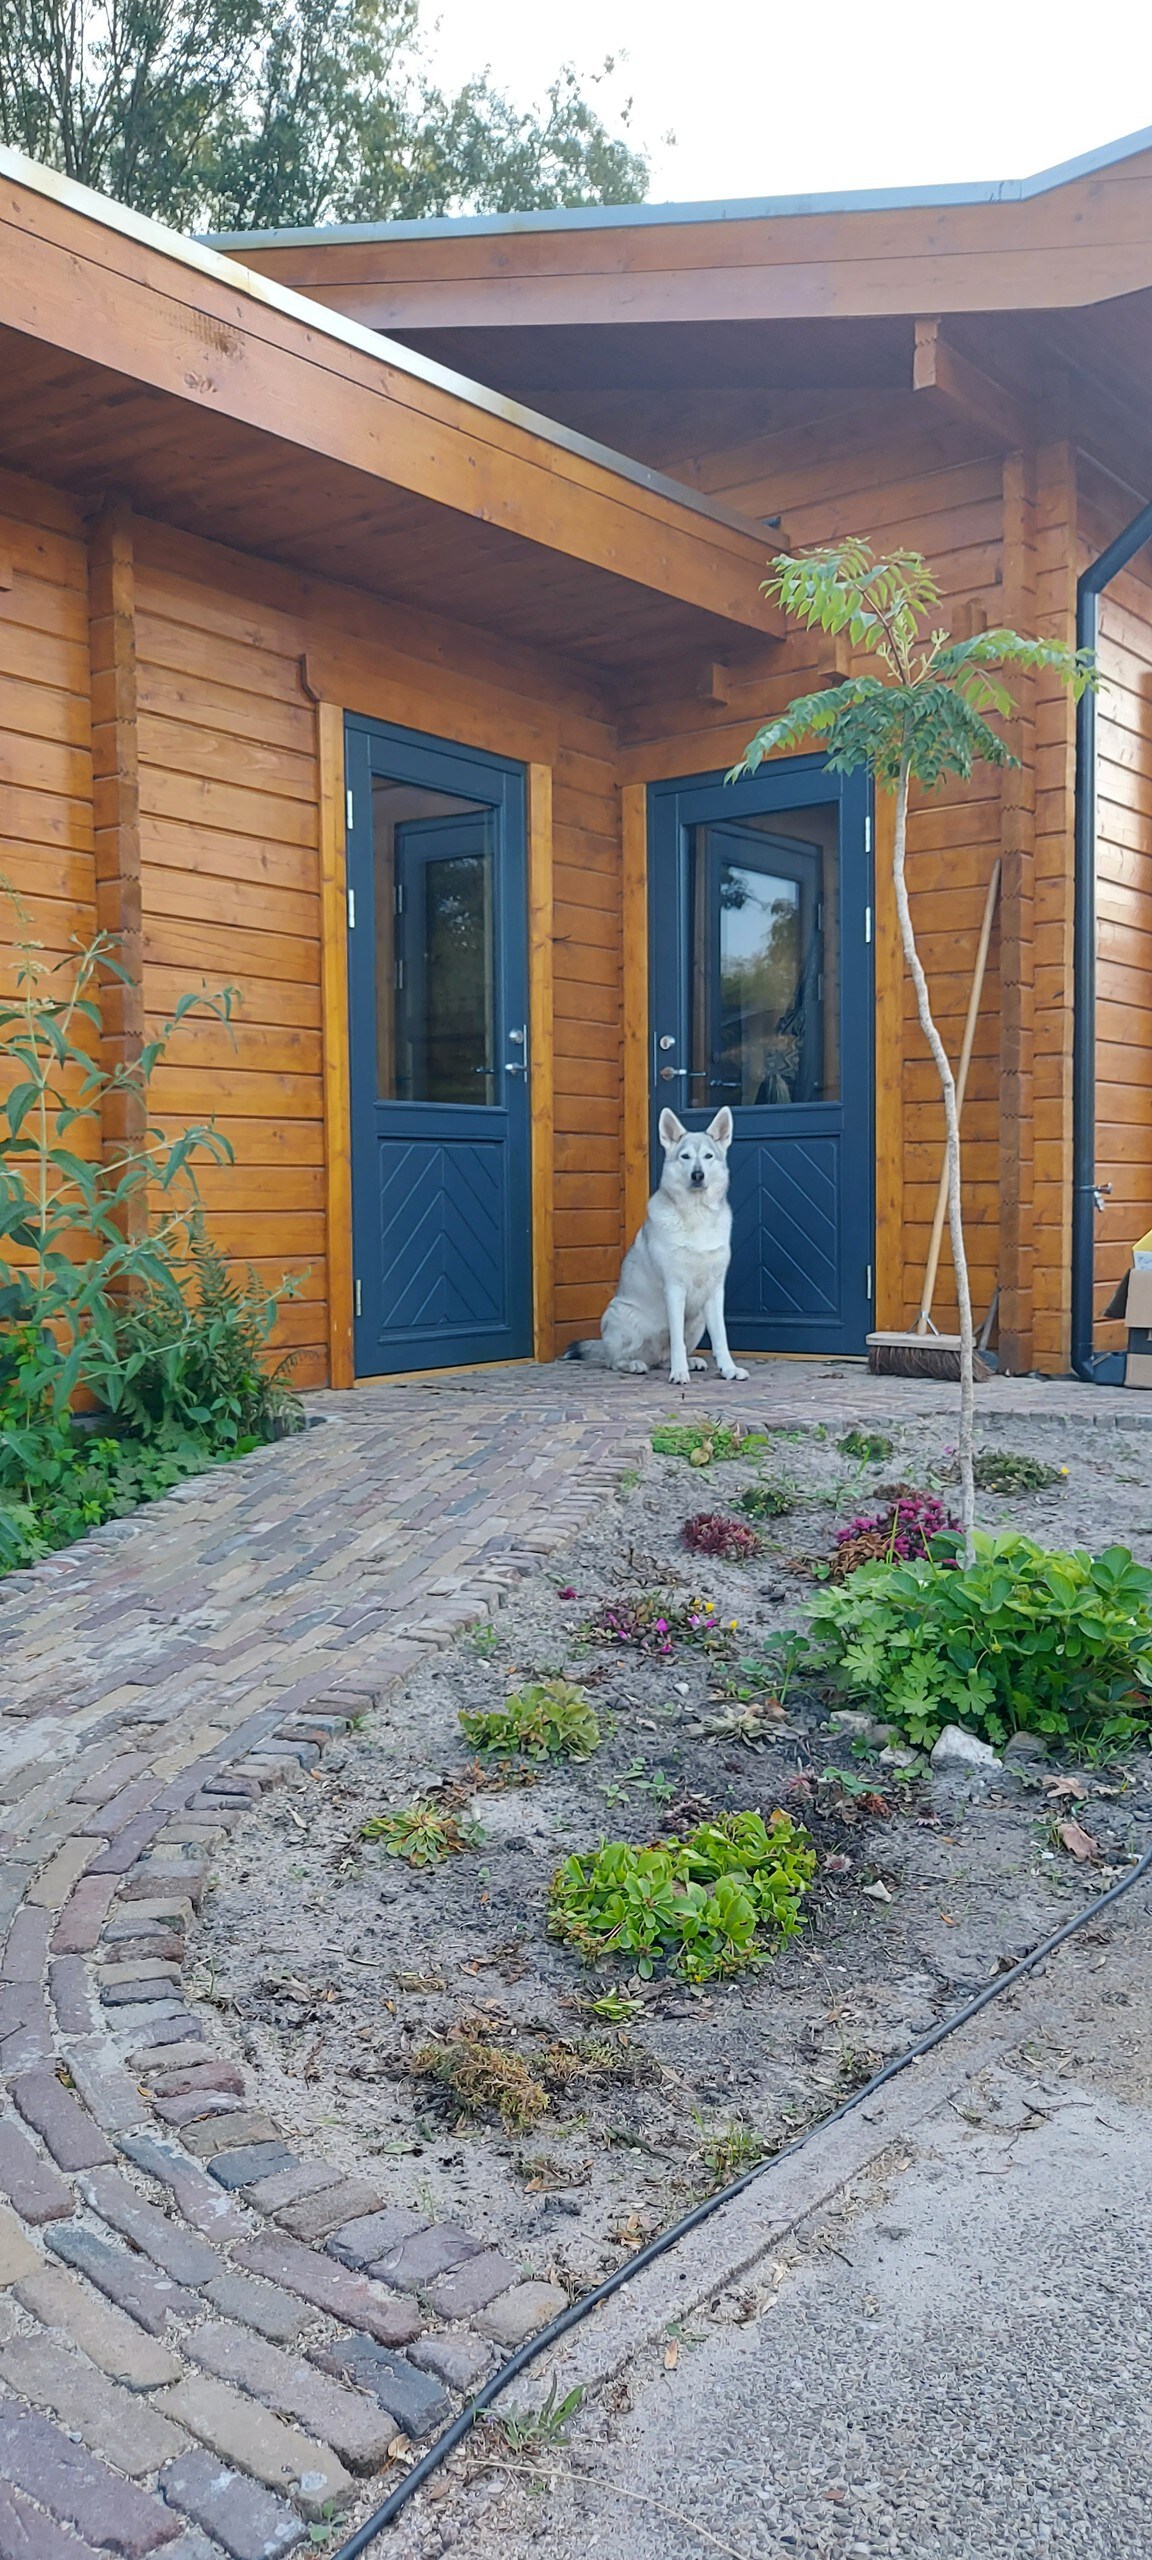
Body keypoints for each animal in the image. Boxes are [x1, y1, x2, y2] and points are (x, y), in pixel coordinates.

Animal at [565, 1100, 747, 1382]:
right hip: (623, 1315)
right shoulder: (674, 1288)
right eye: (685, 1156)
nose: (697, 1175)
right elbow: (677, 1342)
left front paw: (728, 1369)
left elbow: (721, 1339)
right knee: (614, 1361)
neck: (696, 1215)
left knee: (662, 1357)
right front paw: (679, 1373)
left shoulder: (715, 1291)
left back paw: (689, 1361)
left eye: (708, 1156)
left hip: (698, 1321)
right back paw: (635, 1364)